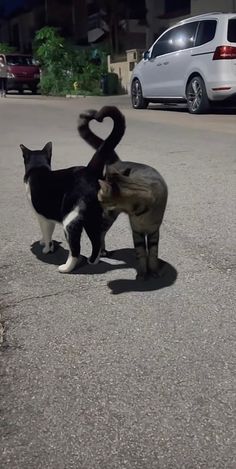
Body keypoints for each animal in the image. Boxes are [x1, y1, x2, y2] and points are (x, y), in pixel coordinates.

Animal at [20, 108, 125, 272]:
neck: (38, 168)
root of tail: (90, 170)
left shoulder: (42, 215)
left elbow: (47, 233)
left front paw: (46, 248)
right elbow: (46, 233)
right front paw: (44, 243)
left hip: (70, 220)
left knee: (76, 247)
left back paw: (66, 267)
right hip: (94, 218)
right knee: (97, 240)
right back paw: (93, 261)